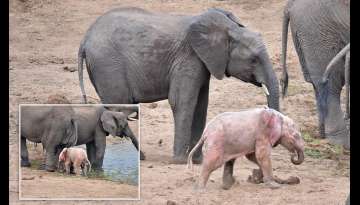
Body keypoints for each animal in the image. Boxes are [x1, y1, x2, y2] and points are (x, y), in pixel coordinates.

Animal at [79, 7, 282, 163]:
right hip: (108, 65)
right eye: (253, 60)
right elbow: (182, 102)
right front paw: (179, 161)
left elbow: (201, 105)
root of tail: (85, 38)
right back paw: (142, 158)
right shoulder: (188, 58)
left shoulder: (202, 62)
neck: (227, 29)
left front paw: (198, 161)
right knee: (119, 104)